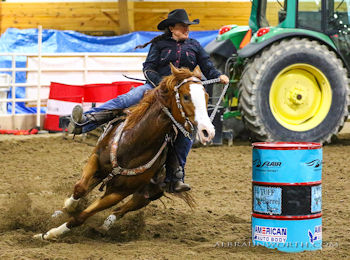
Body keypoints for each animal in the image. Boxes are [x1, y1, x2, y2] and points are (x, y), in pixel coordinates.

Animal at [35, 64, 216, 240]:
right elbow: (79, 188)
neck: (134, 143)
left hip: (150, 193)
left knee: (122, 209)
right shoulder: (96, 159)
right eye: (186, 96)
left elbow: (82, 216)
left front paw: (50, 233)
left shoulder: (119, 192)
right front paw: (66, 208)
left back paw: (104, 227)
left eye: (206, 97)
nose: (208, 131)